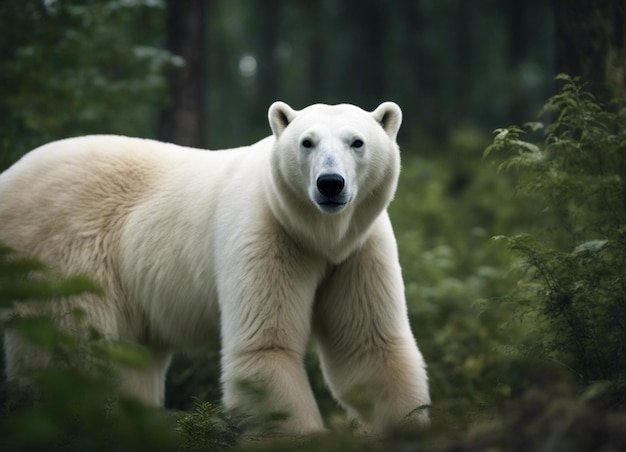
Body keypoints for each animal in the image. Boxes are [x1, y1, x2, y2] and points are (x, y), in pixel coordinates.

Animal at [0, 101, 428, 434]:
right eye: (307, 142)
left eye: (357, 142)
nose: (330, 183)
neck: (317, 233)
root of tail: (10, 176)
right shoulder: (266, 234)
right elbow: (264, 346)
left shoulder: (358, 250)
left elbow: (368, 344)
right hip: (65, 253)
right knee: (74, 351)